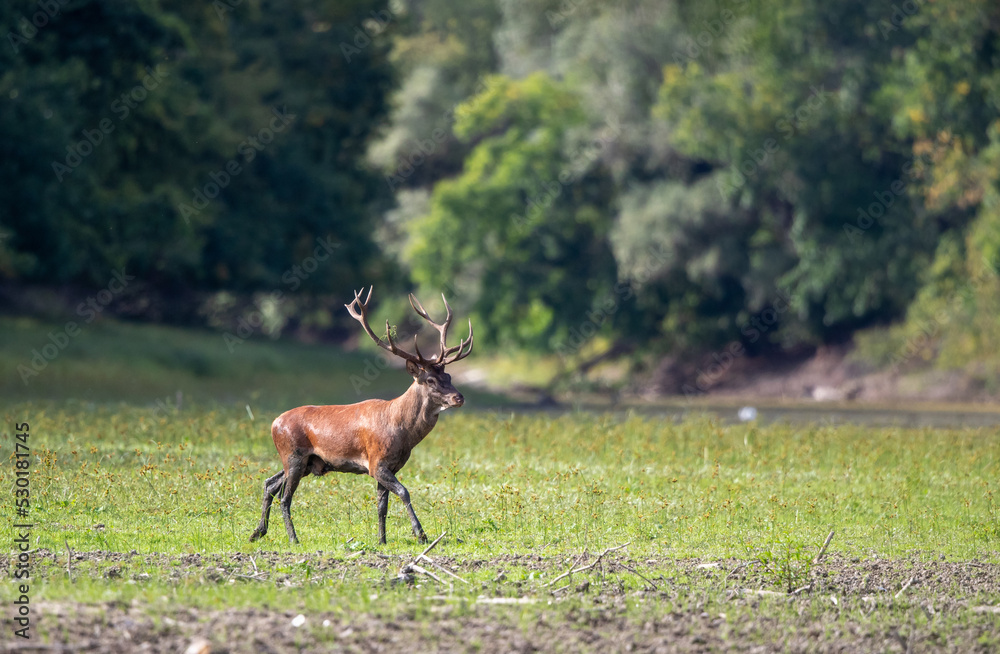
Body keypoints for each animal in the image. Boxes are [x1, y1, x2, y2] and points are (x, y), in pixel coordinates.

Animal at [249, 287, 473, 545]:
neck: (402, 431)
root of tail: (274, 423)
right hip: (293, 455)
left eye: (449, 377)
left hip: (302, 461)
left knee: (270, 483)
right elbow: (404, 492)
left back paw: (257, 532)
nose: (459, 398)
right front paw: (421, 534)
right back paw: (293, 539)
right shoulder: (376, 462)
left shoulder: (392, 466)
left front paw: (382, 540)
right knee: (285, 498)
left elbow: (382, 505)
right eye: (430, 380)